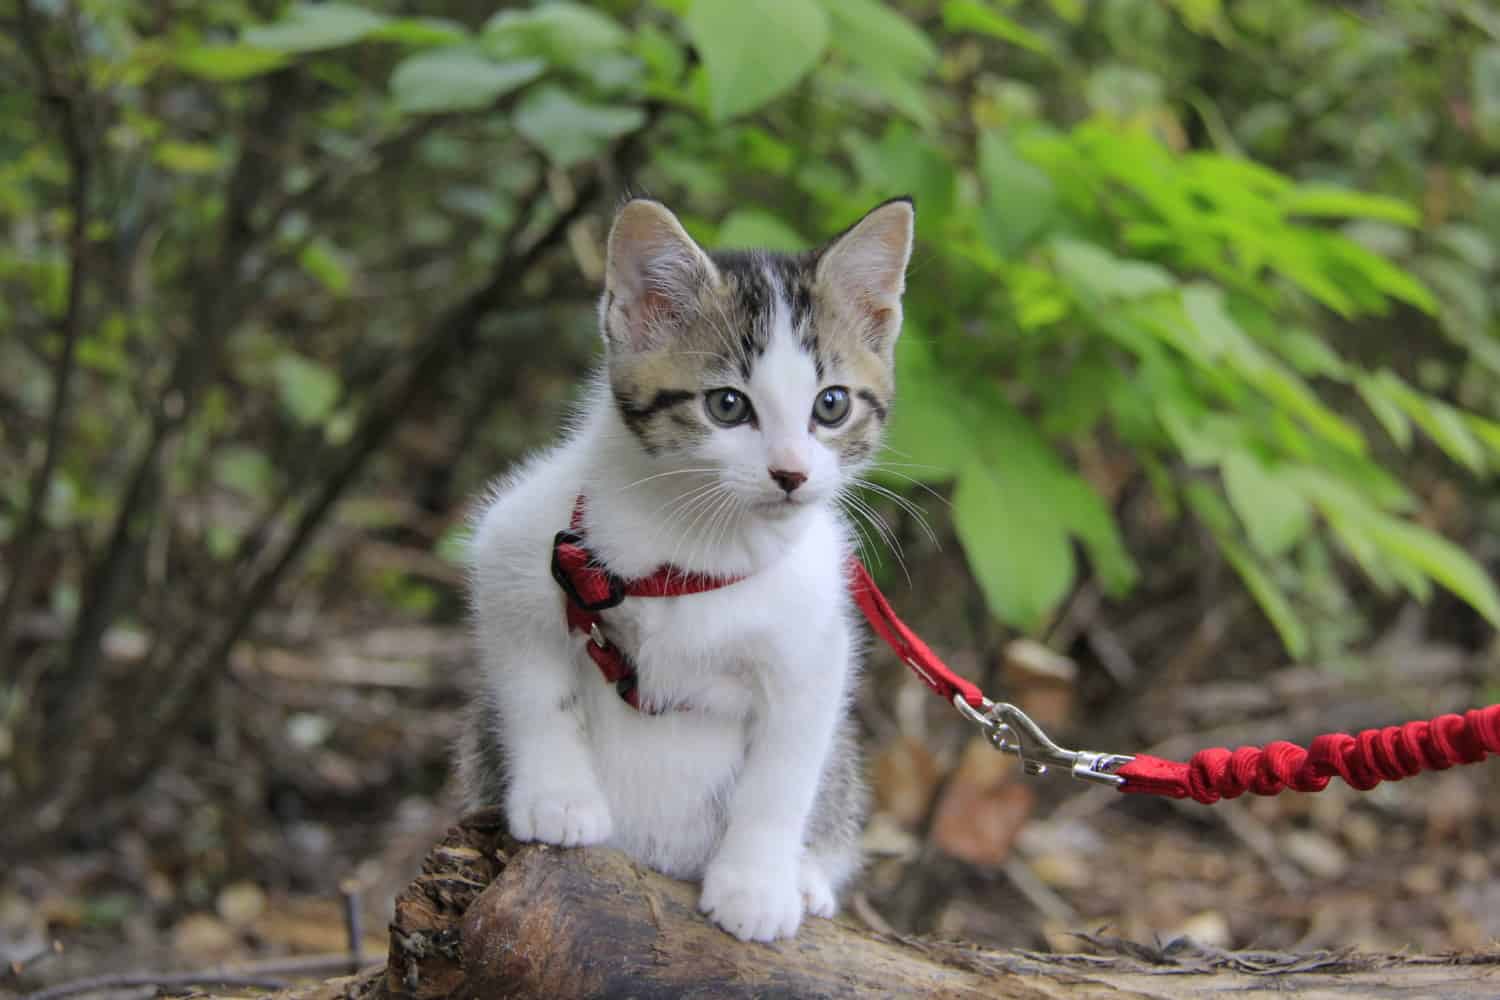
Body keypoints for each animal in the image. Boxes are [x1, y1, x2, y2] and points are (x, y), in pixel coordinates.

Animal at [456, 193, 912, 941]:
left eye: (832, 404)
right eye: (727, 404)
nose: (791, 474)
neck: (702, 542)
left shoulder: (813, 646)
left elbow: (785, 771)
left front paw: (757, 885)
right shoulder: (517, 547)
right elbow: (534, 688)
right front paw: (559, 797)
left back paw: (807, 875)